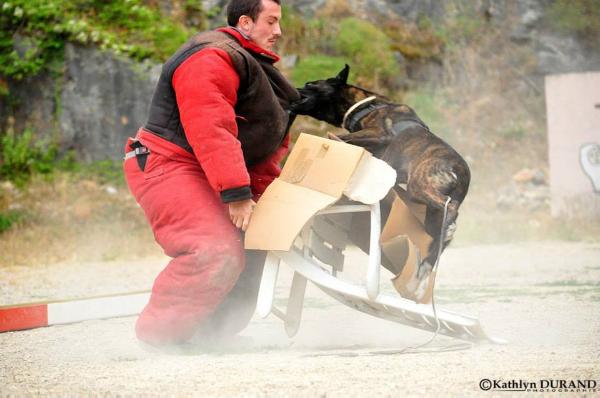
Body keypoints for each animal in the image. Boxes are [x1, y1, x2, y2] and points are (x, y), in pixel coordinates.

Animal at [292, 66, 472, 302]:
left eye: (311, 84)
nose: (293, 89)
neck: (363, 105)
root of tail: (460, 172)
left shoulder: (378, 135)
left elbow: (340, 136)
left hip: (419, 185)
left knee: (449, 208)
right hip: (430, 214)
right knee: (436, 242)